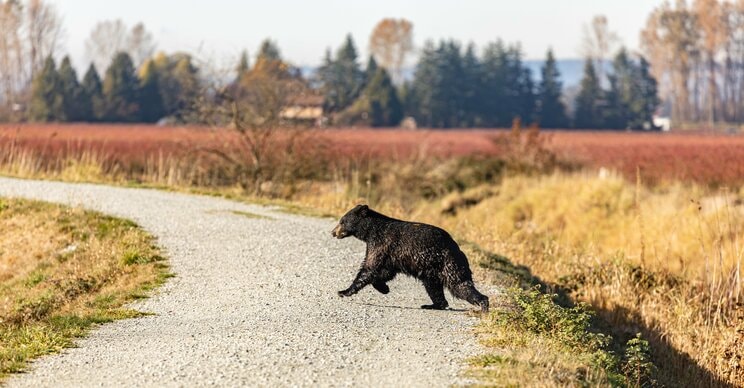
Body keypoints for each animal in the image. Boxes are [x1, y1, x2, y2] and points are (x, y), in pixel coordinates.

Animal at [332, 203, 488, 312]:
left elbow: (369, 268)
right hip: (431, 272)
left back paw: (483, 305)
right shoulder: (388, 253)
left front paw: (343, 291)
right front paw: (384, 288)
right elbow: (384, 271)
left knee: (460, 285)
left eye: (342, 221)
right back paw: (432, 304)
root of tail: (458, 249)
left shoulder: (382, 244)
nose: (333, 232)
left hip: (448, 265)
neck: (371, 232)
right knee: (434, 288)